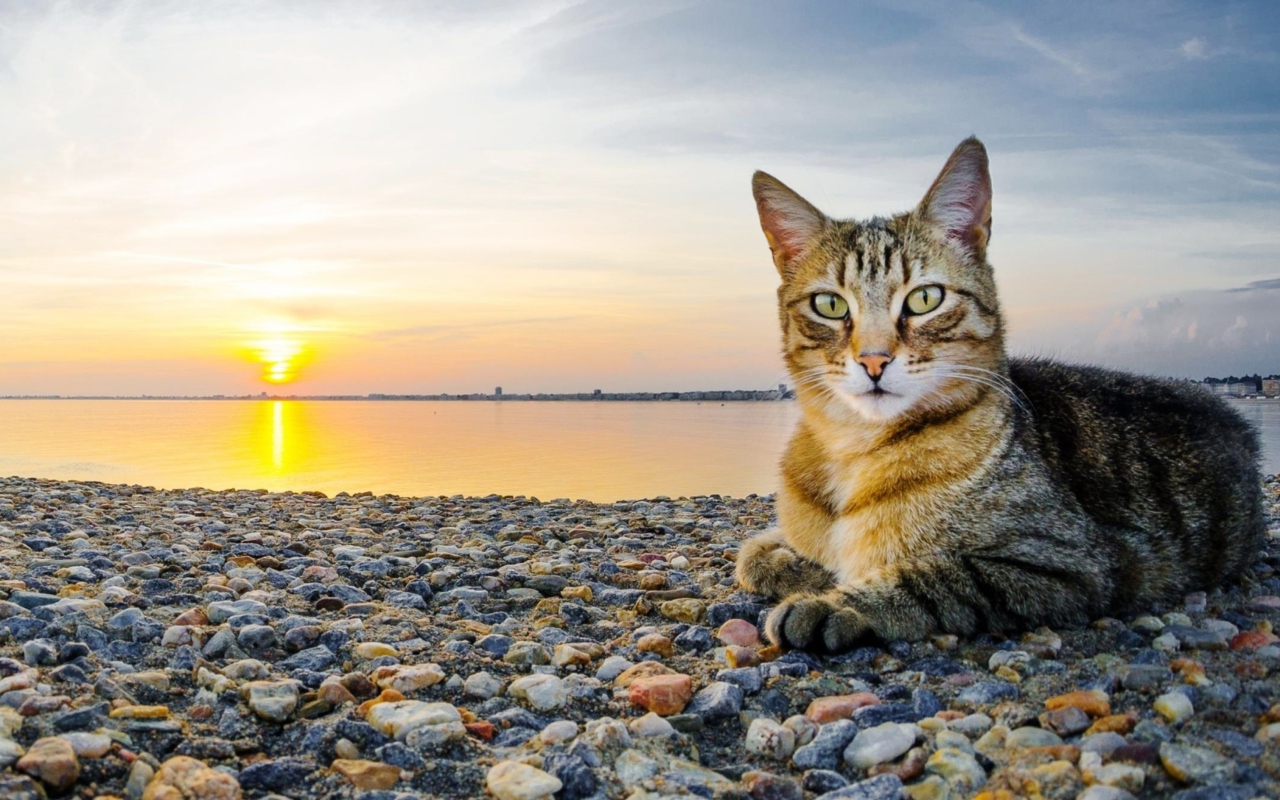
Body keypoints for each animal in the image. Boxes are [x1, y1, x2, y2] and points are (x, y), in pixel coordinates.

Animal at [737, 136, 1264, 652]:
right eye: (830, 305)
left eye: (924, 298)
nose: (873, 360)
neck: (852, 447)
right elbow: (754, 553)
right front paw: (805, 567)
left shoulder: (1068, 564)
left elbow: (936, 576)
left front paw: (836, 604)